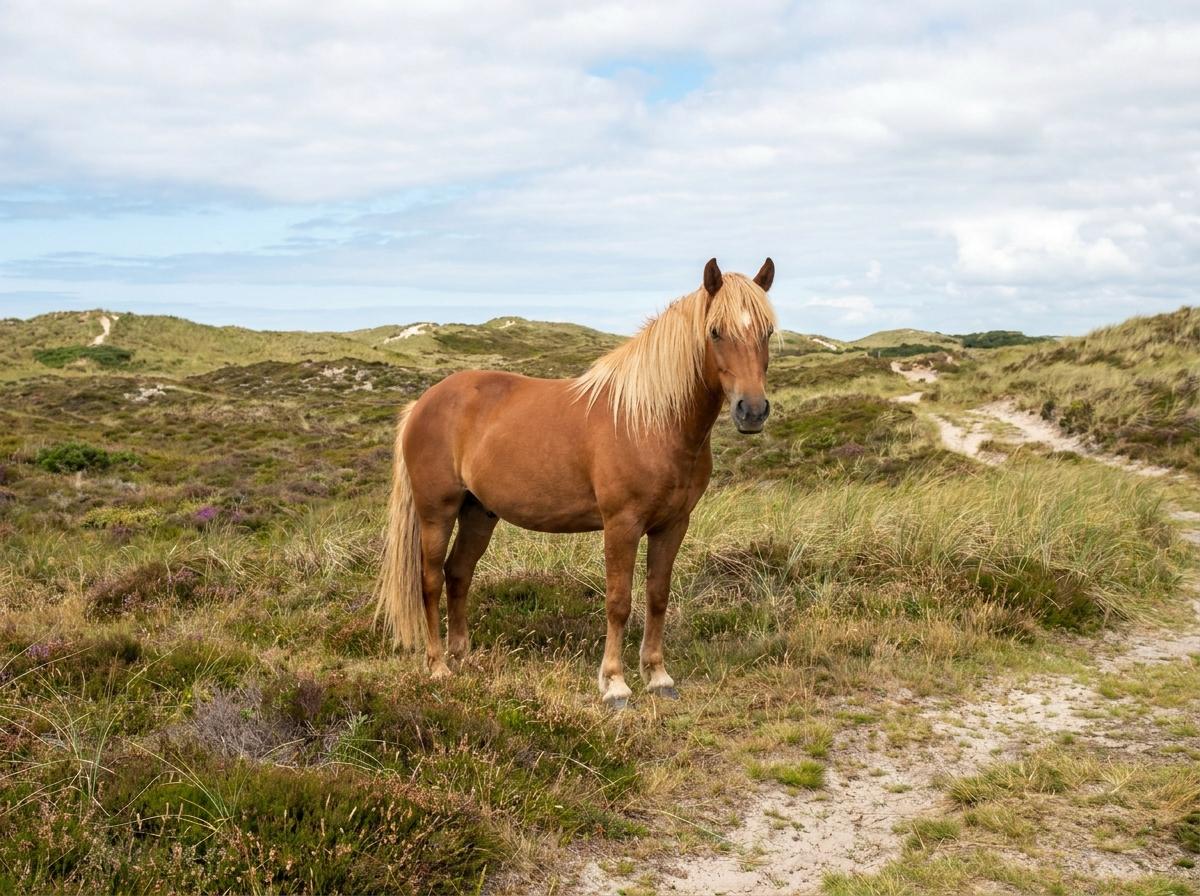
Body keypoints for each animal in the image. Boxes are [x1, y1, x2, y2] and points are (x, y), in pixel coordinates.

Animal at [375, 257, 776, 707]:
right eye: (715, 331)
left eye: (766, 331)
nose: (752, 411)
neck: (649, 421)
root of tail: (422, 403)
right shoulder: (621, 525)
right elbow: (619, 601)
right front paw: (615, 684)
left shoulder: (673, 525)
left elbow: (657, 596)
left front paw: (658, 677)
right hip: (436, 513)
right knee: (429, 580)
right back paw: (438, 666)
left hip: (479, 513)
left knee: (458, 573)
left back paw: (463, 657)